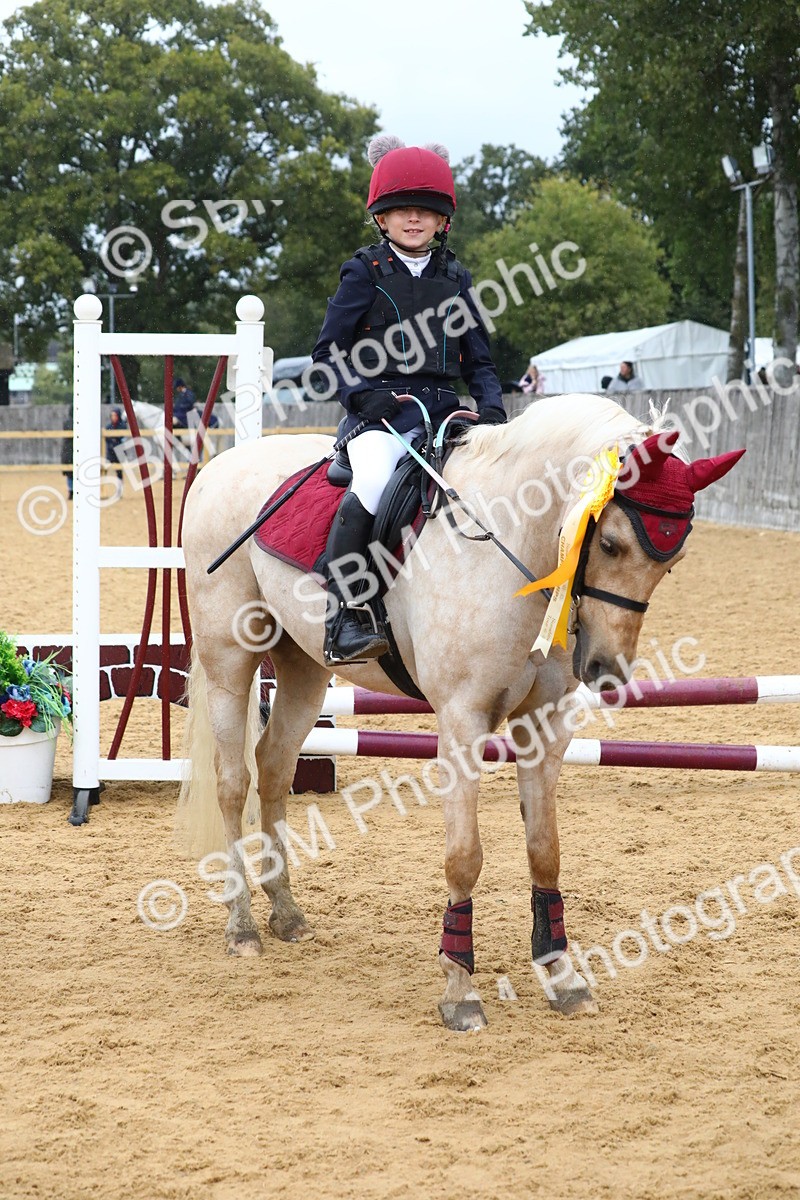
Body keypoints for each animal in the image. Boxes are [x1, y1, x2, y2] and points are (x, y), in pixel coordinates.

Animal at [178, 392, 743, 1031]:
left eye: (672, 562)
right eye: (610, 543)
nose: (605, 670)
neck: (513, 546)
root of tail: (219, 467)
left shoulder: (545, 725)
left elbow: (545, 850)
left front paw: (562, 975)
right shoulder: (462, 720)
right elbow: (464, 856)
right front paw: (460, 990)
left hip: (304, 671)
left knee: (273, 768)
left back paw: (287, 914)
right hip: (230, 661)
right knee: (233, 783)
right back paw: (242, 926)